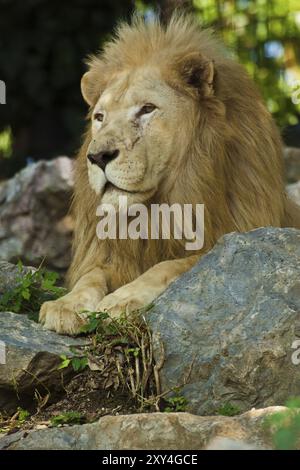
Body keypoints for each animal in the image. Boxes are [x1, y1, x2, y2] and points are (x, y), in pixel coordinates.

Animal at [39, 14, 300, 334]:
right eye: (100, 117)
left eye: (147, 109)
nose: (98, 157)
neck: (159, 208)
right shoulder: (110, 256)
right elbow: (90, 277)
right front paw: (65, 305)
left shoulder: (230, 239)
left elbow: (169, 266)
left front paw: (120, 300)